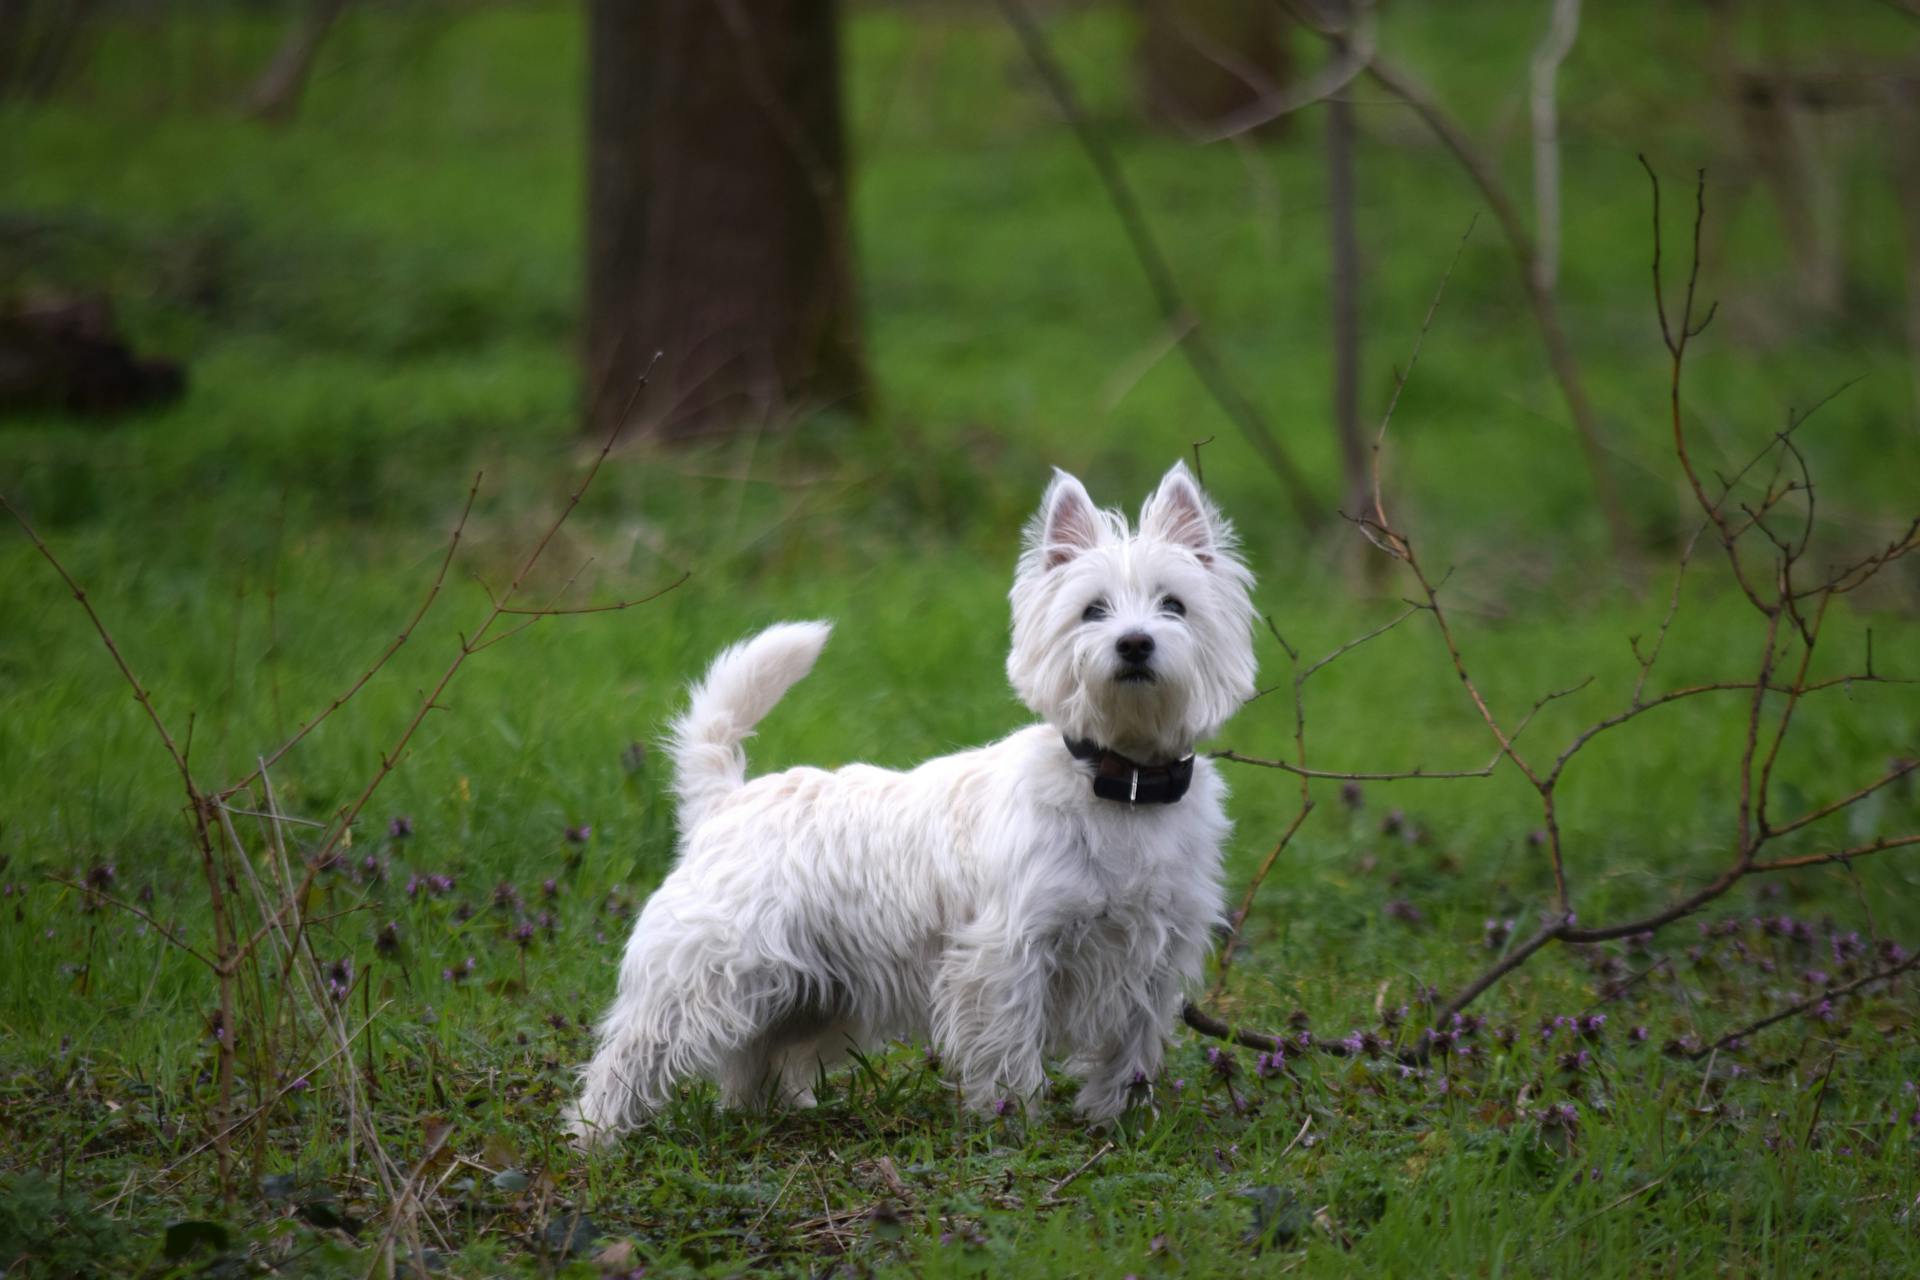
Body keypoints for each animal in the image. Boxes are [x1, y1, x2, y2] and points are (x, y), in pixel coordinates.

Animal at [568, 460, 1259, 1143]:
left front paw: (1124, 1121)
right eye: (1093, 610)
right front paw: (1016, 1122)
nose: (1135, 643)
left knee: (754, 1057)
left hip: (810, 989)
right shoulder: (1006, 951)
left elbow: (1130, 1049)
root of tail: (724, 799)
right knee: (634, 1051)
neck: (1125, 784)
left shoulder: (1155, 953)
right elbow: (1010, 1045)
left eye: (1174, 605)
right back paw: (598, 1134)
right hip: (709, 968)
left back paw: (770, 1115)